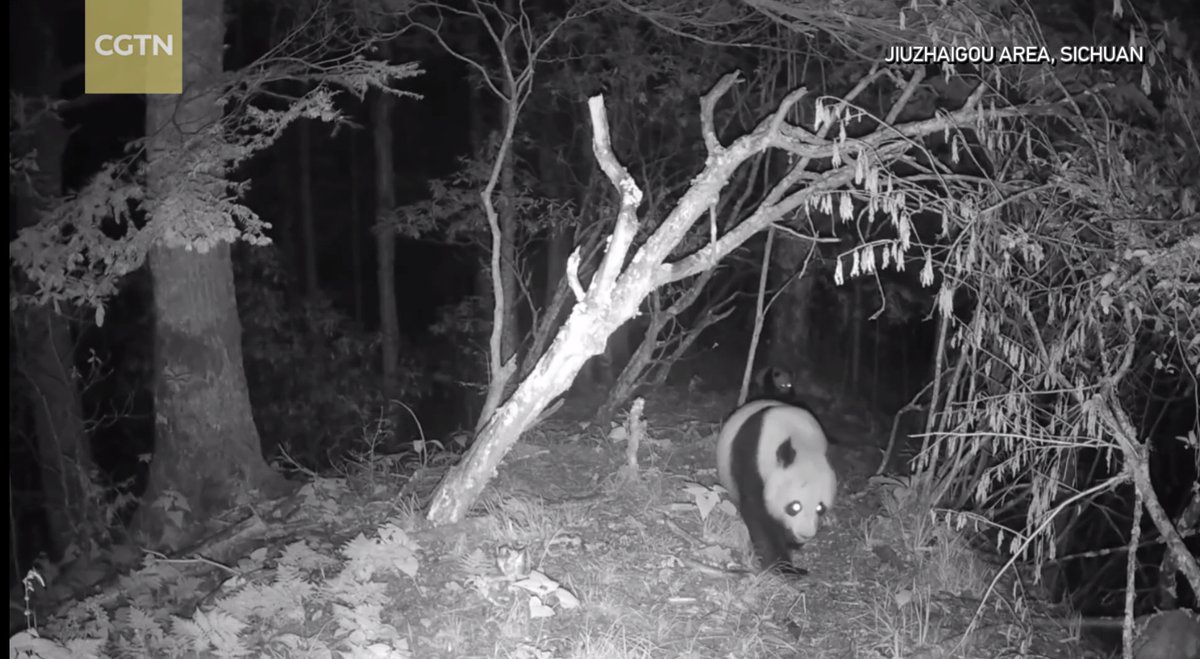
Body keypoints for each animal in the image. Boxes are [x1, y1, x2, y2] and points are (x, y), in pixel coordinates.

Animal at [716, 400, 838, 576]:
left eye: (820, 508)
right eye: (795, 506)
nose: (805, 534)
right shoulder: (752, 459)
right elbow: (758, 513)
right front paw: (785, 568)